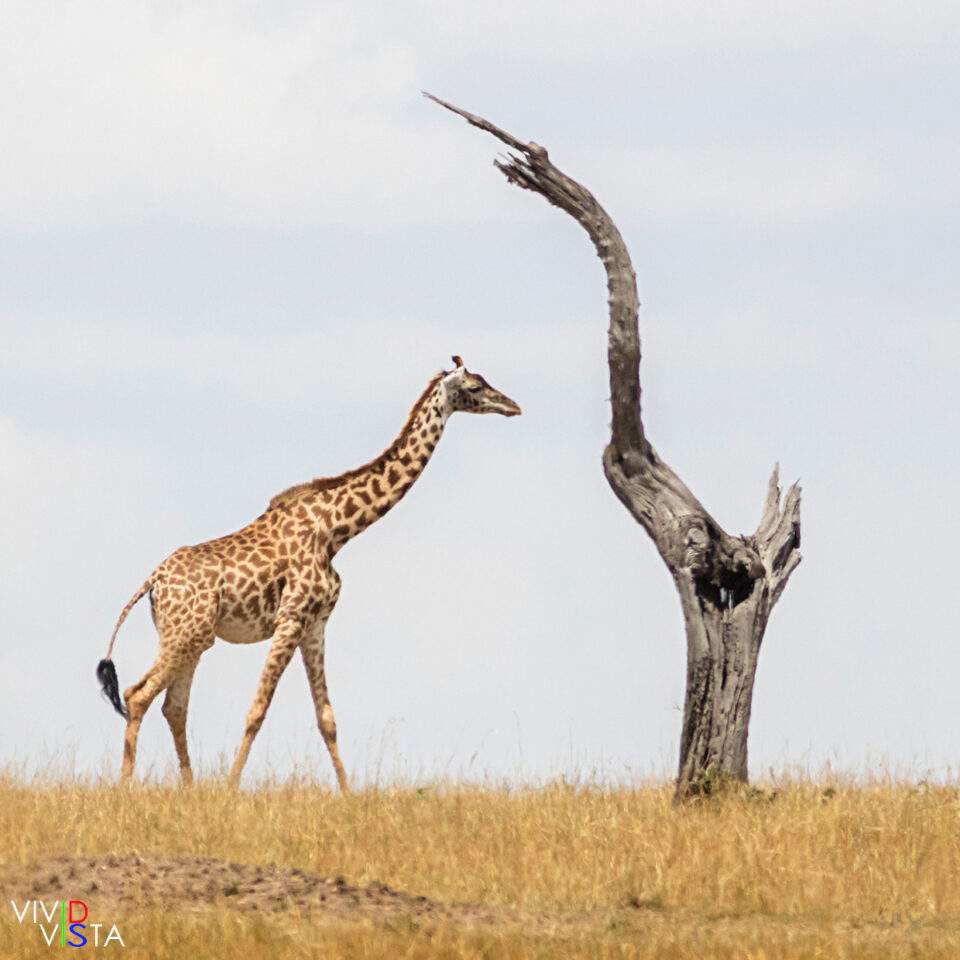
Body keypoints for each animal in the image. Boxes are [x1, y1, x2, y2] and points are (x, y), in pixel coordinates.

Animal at [96, 357, 520, 792]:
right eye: (475, 387)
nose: (513, 406)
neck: (336, 531)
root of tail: (152, 581)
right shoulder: (291, 617)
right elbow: (258, 709)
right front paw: (231, 789)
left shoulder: (317, 623)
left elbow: (327, 718)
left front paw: (348, 794)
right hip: (185, 634)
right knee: (138, 694)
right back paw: (126, 786)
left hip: (194, 638)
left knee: (173, 706)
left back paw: (190, 788)